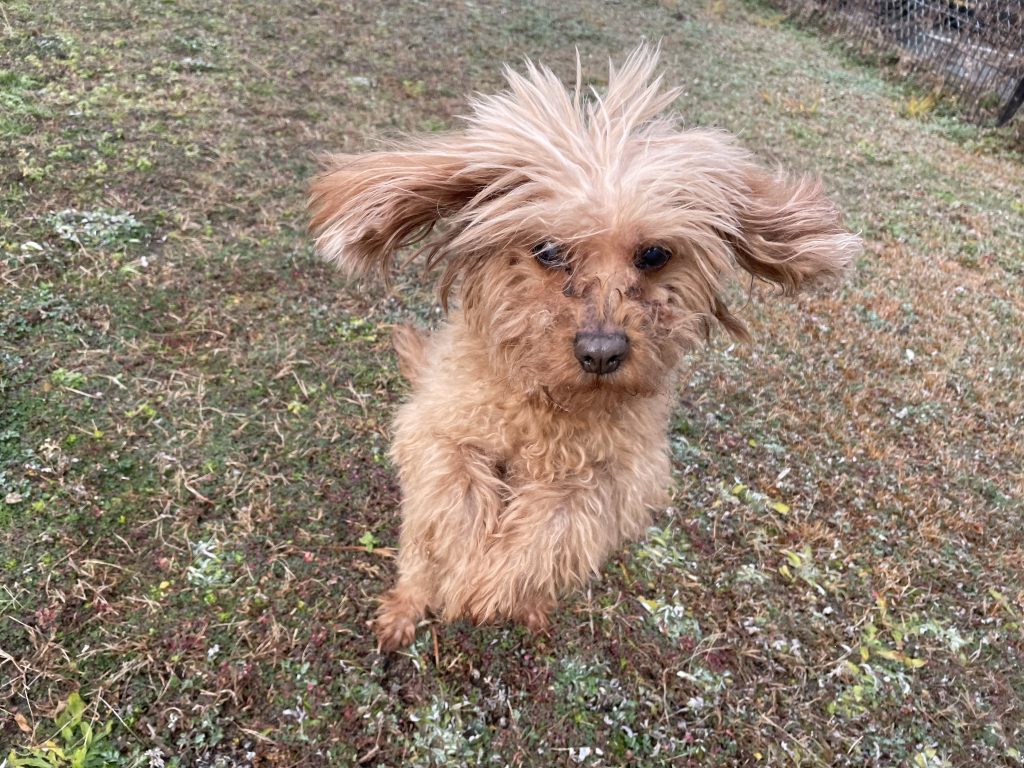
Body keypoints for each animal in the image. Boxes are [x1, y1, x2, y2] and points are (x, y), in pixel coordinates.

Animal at [308, 47, 860, 652]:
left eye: (654, 254)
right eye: (549, 250)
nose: (601, 353)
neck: (552, 406)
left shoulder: (623, 473)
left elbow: (559, 525)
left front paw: (494, 587)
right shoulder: (439, 427)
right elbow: (457, 499)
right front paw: (466, 572)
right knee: (417, 561)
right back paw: (405, 610)